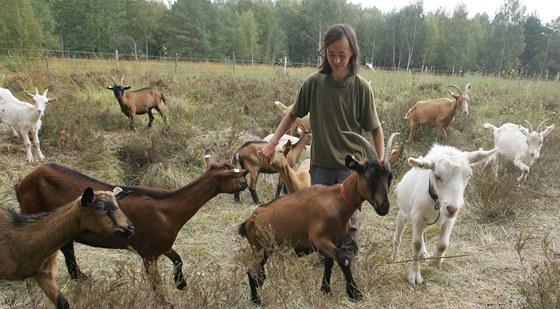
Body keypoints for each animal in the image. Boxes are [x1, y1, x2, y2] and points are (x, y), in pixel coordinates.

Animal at [16, 149, 248, 304]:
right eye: (236, 174)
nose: (246, 184)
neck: (169, 209)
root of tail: (22, 182)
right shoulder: (148, 254)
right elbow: (156, 284)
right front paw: (165, 302)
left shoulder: (161, 245)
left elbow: (178, 259)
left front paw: (181, 283)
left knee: (67, 247)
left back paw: (80, 277)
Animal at [238, 131, 400, 304]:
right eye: (368, 176)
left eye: (389, 177)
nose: (384, 207)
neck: (337, 201)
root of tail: (249, 221)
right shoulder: (319, 239)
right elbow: (344, 259)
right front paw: (355, 293)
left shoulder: (335, 240)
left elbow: (329, 263)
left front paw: (326, 290)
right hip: (258, 247)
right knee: (251, 270)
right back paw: (256, 300)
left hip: (267, 249)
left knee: (258, 272)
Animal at [392, 144, 496, 284]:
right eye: (437, 176)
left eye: (468, 175)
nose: (452, 208)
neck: (436, 201)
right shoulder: (417, 216)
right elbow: (416, 244)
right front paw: (414, 274)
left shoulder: (449, 219)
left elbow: (443, 244)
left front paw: (435, 262)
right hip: (403, 213)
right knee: (398, 235)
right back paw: (395, 257)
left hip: (426, 221)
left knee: (422, 233)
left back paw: (425, 254)